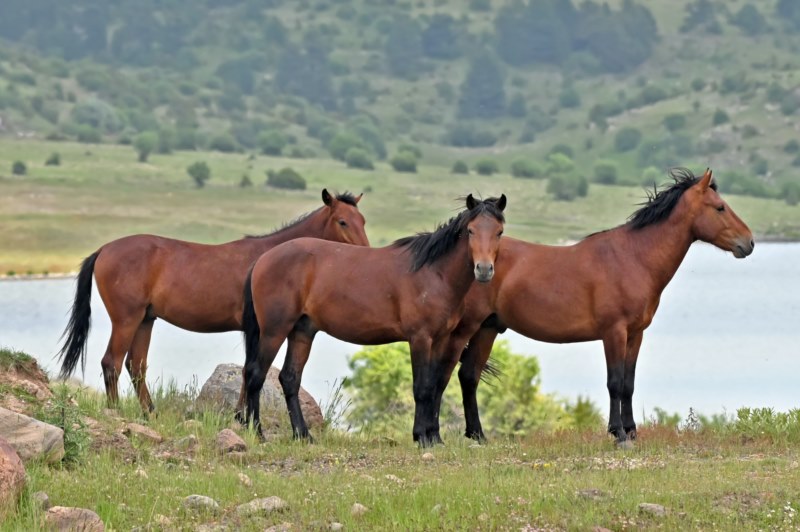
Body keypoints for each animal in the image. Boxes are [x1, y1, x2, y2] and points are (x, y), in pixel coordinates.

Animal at [57, 189, 370, 414]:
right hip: (126, 319)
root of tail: (104, 250)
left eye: (363, 221)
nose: (365, 253)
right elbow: (250, 370)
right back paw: (116, 411)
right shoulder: (256, 329)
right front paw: (242, 417)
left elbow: (247, 370)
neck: (272, 258)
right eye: (343, 221)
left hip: (145, 319)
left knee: (136, 366)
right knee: (111, 362)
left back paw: (149, 412)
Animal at [241, 194, 510, 444]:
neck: (435, 274)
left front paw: (434, 437)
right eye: (470, 230)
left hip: (302, 332)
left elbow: (435, 386)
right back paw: (257, 433)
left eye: (499, 232)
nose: (484, 269)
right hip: (274, 331)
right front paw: (421, 437)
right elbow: (422, 388)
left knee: (289, 379)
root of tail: (263, 259)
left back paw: (303, 435)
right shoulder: (420, 339)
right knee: (255, 374)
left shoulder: (441, 339)